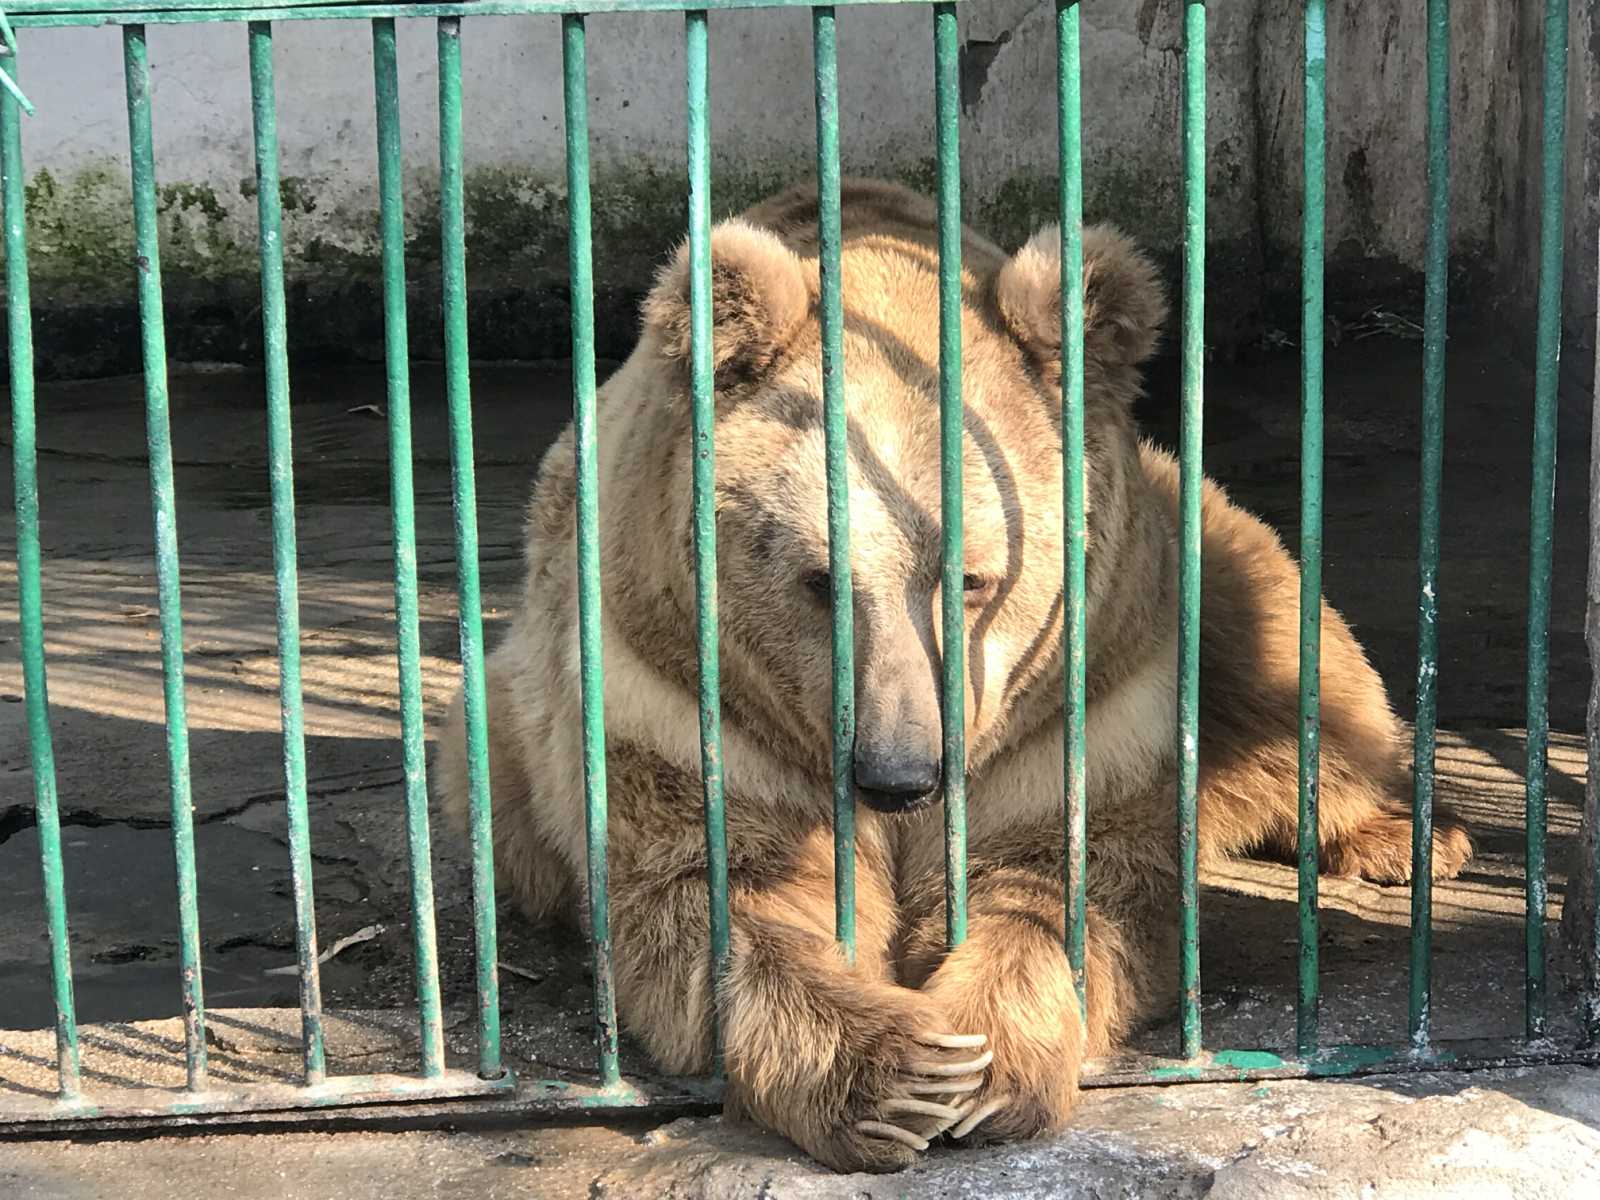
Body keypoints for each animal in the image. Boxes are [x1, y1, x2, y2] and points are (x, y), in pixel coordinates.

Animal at [432, 178, 1465, 1177]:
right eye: (819, 578)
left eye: (971, 578)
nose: (900, 776)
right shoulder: (678, 700)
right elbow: (723, 895)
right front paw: (901, 1073)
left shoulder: (1076, 711)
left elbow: (1061, 882)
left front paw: (984, 1061)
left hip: (1207, 570)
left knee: (1300, 667)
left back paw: (1407, 836)